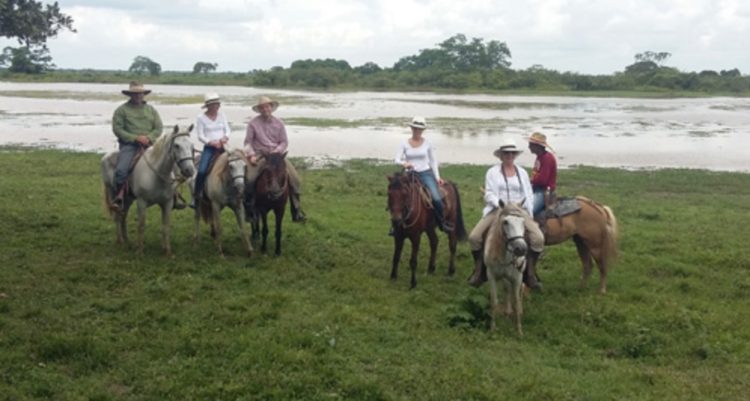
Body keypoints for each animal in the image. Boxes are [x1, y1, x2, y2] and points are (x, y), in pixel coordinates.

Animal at [103, 124, 197, 256]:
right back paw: (120, 241)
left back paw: (127, 240)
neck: (157, 174)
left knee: (124, 215)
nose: (189, 170)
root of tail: (105, 156)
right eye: (177, 145)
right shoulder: (141, 202)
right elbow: (141, 225)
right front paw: (140, 250)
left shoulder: (167, 203)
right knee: (117, 215)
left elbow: (165, 226)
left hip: (128, 198)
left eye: (192, 146)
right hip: (113, 193)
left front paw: (167, 251)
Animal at [490, 203, 532, 334]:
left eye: (523, 222)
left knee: (519, 291)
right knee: (507, 289)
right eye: (505, 222)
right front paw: (492, 327)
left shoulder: (517, 278)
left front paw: (519, 331)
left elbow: (517, 301)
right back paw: (507, 311)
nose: (521, 249)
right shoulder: (491, 275)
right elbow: (494, 301)